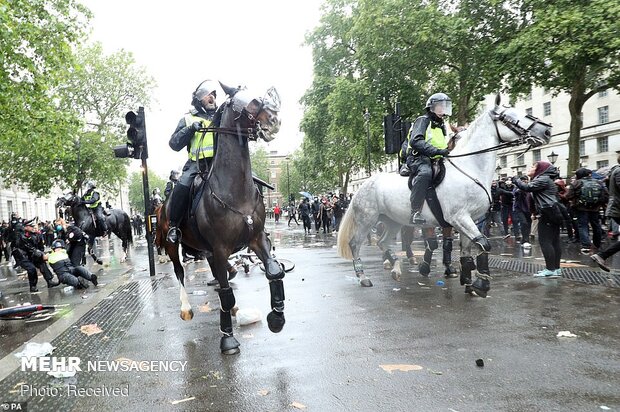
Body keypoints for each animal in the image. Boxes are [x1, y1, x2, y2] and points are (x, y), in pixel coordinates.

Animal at [157, 83, 286, 354]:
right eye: (250, 102)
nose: (275, 120)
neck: (235, 192)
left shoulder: (256, 238)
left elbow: (273, 271)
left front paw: (276, 318)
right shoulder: (220, 247)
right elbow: (225, 293)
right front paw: (227, 338)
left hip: (205, 248)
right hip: (173, 245)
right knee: (179, 271)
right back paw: (186, 309)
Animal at [336, 94, 548, 296]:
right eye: (508, 116)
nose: (546, 131)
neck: (469, 168)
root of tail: (363, 185)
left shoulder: (469, 220)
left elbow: (468, 250)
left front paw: (469, 283)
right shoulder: (458, 217)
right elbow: (483, 244)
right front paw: (481, 284)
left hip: (392, 220)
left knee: (383, 242)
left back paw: (395, 268)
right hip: (367, 219)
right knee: (355, 243)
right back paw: (364, 277)